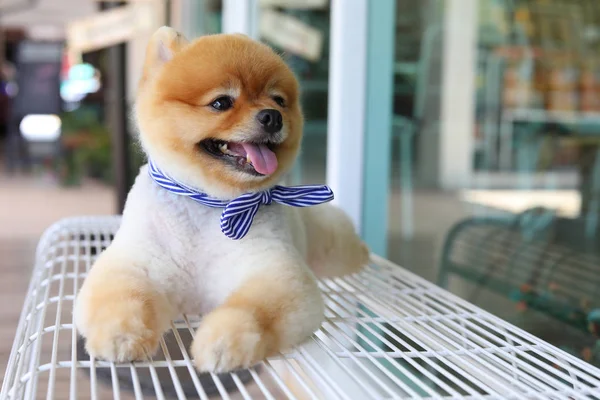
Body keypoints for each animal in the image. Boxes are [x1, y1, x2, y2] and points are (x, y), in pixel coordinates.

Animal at [72, 27, 368, 372]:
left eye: (279, 100)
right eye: (221, 102)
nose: (272, 116)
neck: (210, 202)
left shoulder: (275, 271)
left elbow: (252, 311)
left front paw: (225, 342)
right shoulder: (135, 263)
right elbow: (122, 300)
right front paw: (121, 335)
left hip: (333, 244)